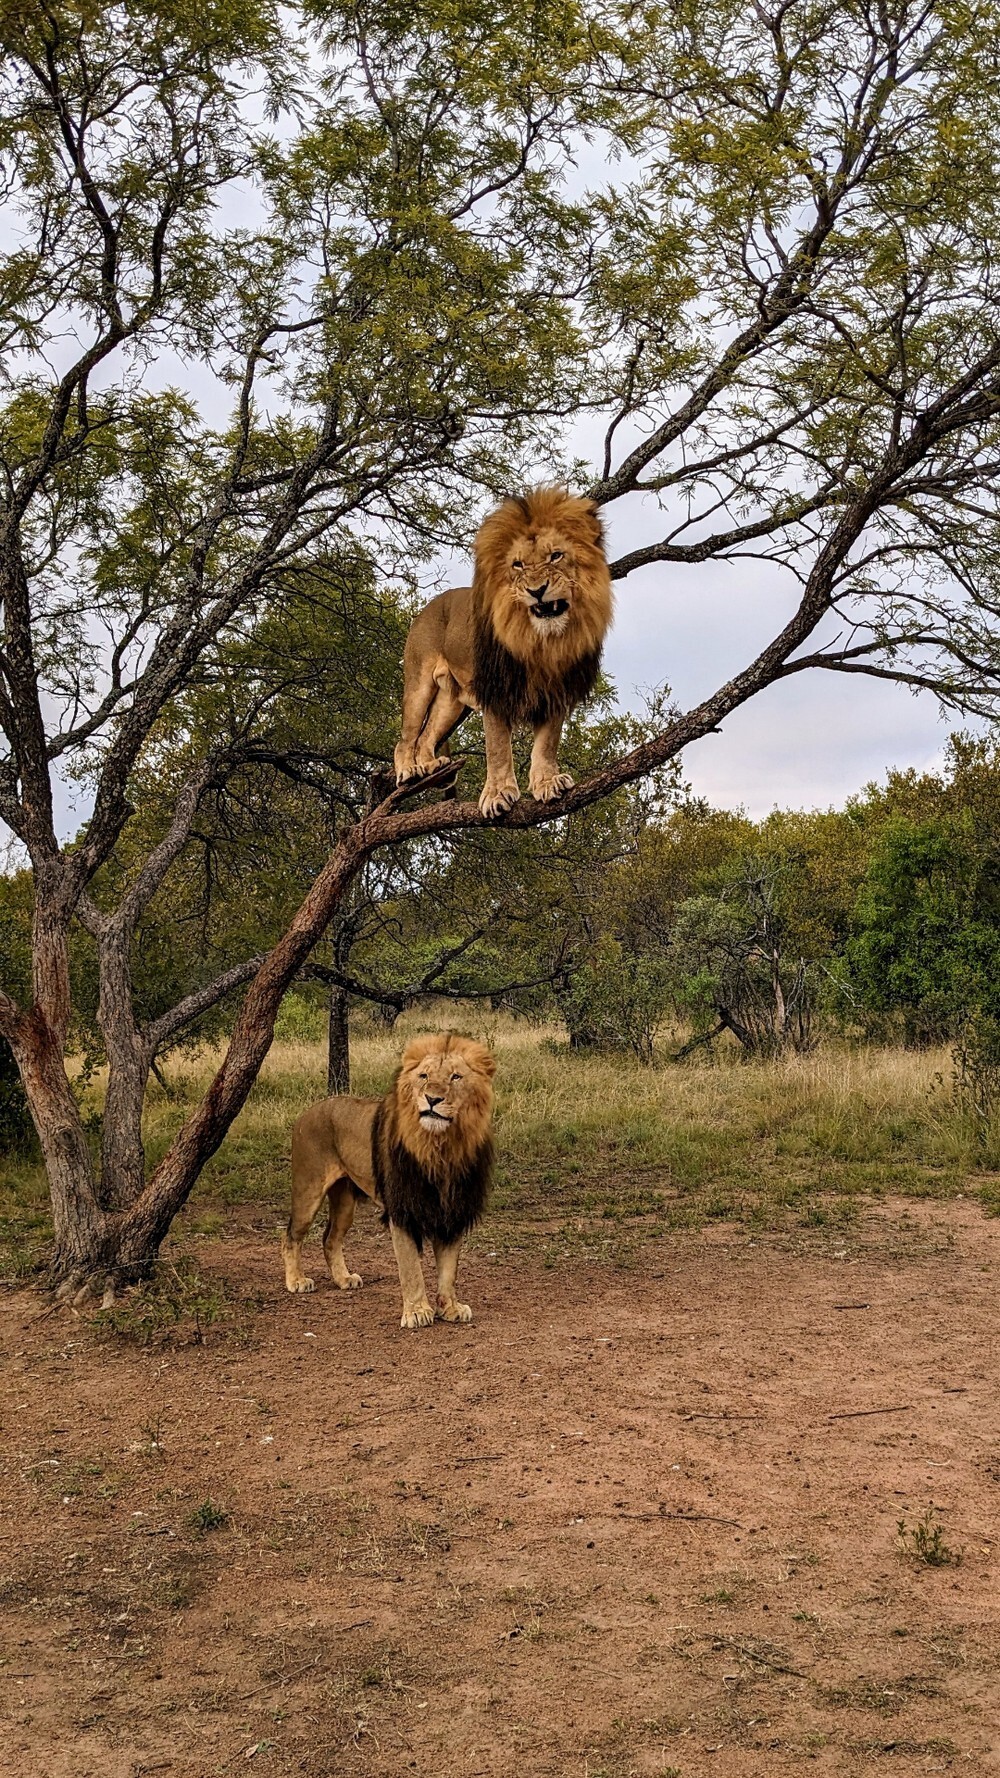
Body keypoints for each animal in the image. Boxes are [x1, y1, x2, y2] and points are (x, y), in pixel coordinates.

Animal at [281, 1031, 494, 1337]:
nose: (432, 1099)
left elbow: (449, 1269)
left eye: (456, 1077)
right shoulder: (402, 1210)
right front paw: (417, 1312)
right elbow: (411, 1268)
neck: (441, 1148)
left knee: (329, 1238)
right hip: (307, 1191)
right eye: (424, 1076)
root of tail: (311, 1109)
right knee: (291, 1236)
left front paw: (451, 1308)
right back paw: (297, 1281)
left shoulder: (452, 1211)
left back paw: (344, 1279)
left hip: (345, 1202)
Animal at [389, 490, 608, 814]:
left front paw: (546, 783)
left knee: (426, 736)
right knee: (406, 737)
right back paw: (408, 771)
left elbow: (547, 743)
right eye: (518, 565)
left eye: (556, 556)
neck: (539, 640)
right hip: (420, 683)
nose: (537, 591)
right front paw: (496, 795)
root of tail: (430, 604)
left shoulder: (557, 693)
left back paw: (430, 765)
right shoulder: (496, 692)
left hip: (452, 701)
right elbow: (497, 747)